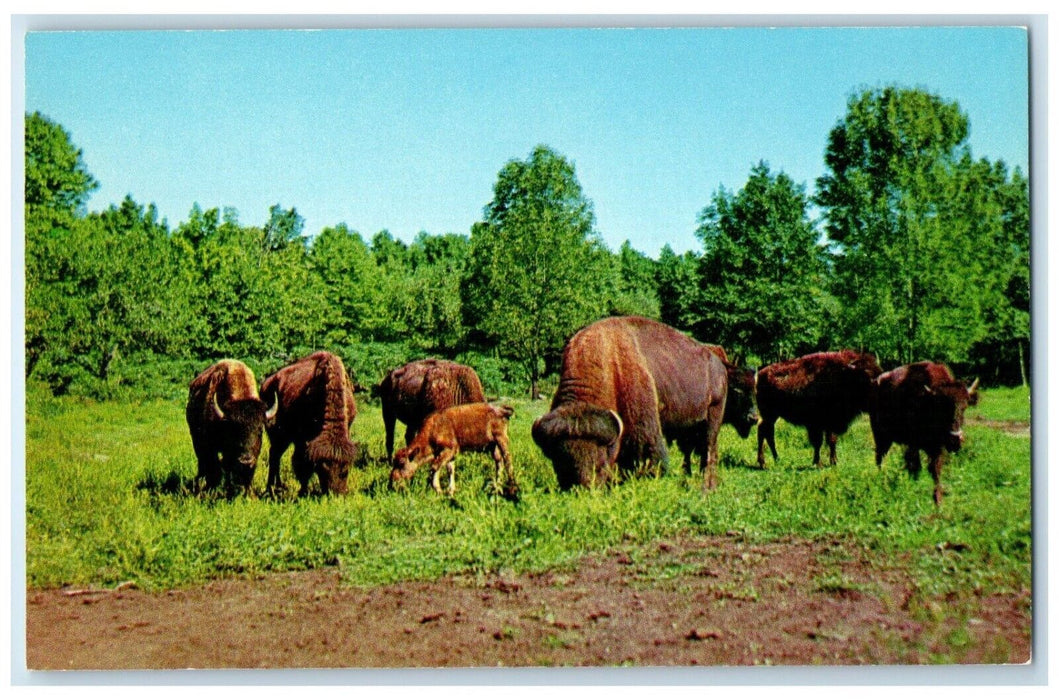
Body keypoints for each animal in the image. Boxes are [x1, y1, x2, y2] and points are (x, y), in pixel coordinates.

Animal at [260, 351, 358, 496]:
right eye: (323, 468)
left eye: (345, 470)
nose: (336, 493)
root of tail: (267, 383)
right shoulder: (302, 439)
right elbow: (302, 465)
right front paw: (303, 492)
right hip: (279, 435)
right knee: (274, 456)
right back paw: (271, 489)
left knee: (276, 455)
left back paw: (278, 487)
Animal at [532, 316, 747, 491]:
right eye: (559, 463)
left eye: (600, 464)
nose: (583, 489)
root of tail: (719, 365)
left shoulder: (644, 429)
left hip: (713, 416)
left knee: (708, 451)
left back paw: (707, 487)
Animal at [869, 362, 980, 505]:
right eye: (942, 407)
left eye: (965, 407)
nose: (955, 439)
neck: (927, 401)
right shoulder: (913, 444)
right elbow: (916, 466)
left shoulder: (937, 448)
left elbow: (935, 470)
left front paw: (938, 500)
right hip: (881, 437)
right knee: (880, 458)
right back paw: (881, 480)